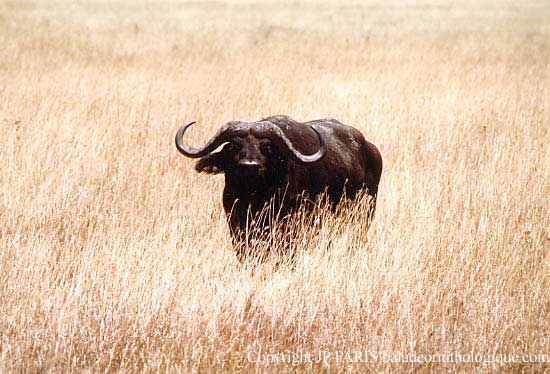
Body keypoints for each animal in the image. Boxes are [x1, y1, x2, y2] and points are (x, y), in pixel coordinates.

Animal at [177, 115, 384, 258]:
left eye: (266, 147)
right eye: (233, 146)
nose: (249, 166)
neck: (254, 198)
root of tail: (371, 150)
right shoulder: (236, 226)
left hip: (364, 215)